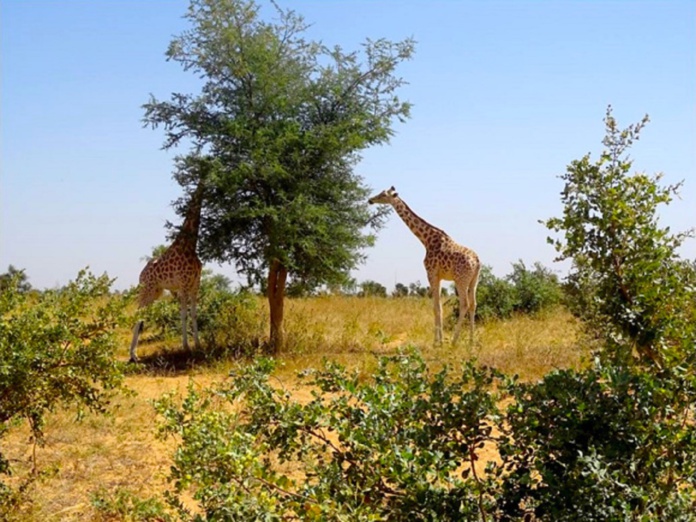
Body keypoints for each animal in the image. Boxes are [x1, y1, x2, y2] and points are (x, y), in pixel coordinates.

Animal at [128, 181, 205, 360]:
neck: (189, 245)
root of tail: (141, 274)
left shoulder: (195, 285)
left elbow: (194, 314)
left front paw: (198, 345)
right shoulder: (184, 285)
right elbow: (183, 314)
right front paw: (186, 347)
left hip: (157, 292)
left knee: (142, 315)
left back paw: (134, 353)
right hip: (147, 290)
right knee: (137, 313)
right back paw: (133, 355)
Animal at [370, 185, 478, 344]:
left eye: (383, 194)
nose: (370, 200)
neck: (426, 240)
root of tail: (477, 261)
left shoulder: (431, 273)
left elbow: (436, 307)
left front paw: (437, 342)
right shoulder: (438, 276)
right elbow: (439, 307)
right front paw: (440, 340)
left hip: (461, 280)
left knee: (464, 304)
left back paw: (454, 340)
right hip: (473, 281)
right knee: (473, 304)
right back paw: (471, 342)